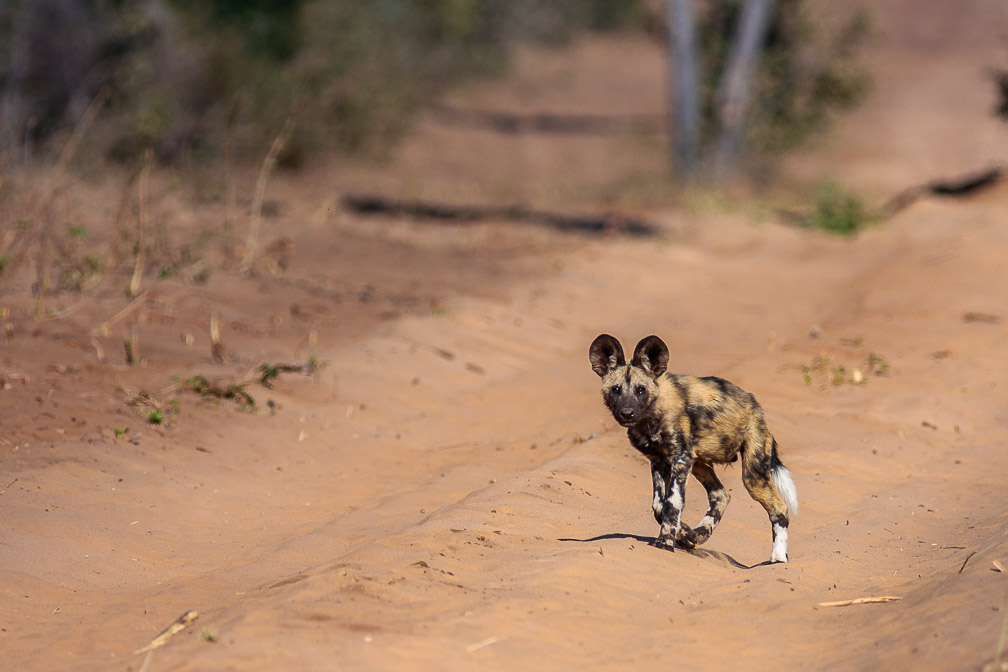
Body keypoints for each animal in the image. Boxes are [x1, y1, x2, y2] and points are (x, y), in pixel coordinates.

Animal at [588, 334, 798, 564]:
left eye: (640, 390)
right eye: (616, 389)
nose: (627, 412)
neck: (652, 415)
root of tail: (757, 407)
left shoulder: (680, 459)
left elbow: (671, 504)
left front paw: (665, 543)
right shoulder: (659, 461)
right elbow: (658, 506)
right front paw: (684, 535)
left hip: (752, 476)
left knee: (779, 509)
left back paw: (778, 557)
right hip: (699, 463)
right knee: (721, 495)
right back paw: (699, 534)